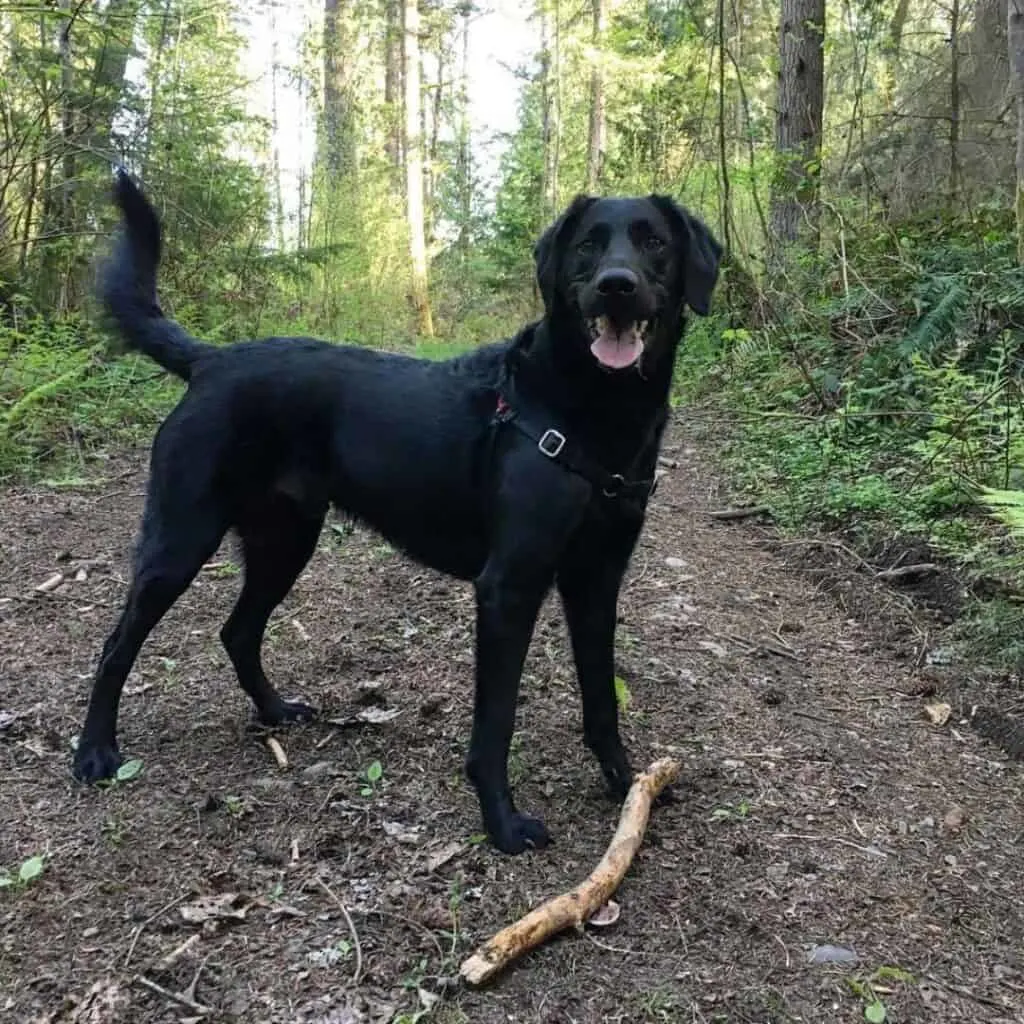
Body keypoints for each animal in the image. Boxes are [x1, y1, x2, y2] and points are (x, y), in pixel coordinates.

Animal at [74, 172, 720, 851]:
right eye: (588, 246)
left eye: (654, 243)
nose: (616, 285)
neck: (593, 412)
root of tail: (211, 361)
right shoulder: (508, 587)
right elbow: (497, 722)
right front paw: (502, 822)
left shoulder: (598, 580)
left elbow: (601, 698)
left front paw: (625, 784)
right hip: (181, 539)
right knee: (116, 645)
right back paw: (94, 753)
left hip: (285, 540)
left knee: (238, 630)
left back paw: (275, 710)